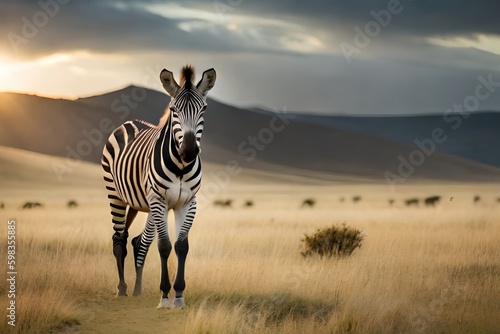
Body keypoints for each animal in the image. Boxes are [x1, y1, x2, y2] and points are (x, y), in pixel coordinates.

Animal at [101, 64, 217, 308]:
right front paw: (164, 295)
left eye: (203, 109)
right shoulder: (159, 200)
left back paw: (137, 289)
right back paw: (122, 288)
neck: (181, 167)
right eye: (174, 110)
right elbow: (164, 246)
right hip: (116, 194)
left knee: (137, 241)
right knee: (119, 239)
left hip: (140, 202)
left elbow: (181, 246)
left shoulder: (188, 203)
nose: (189, 151)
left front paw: (179, 295)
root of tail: (130, 122)